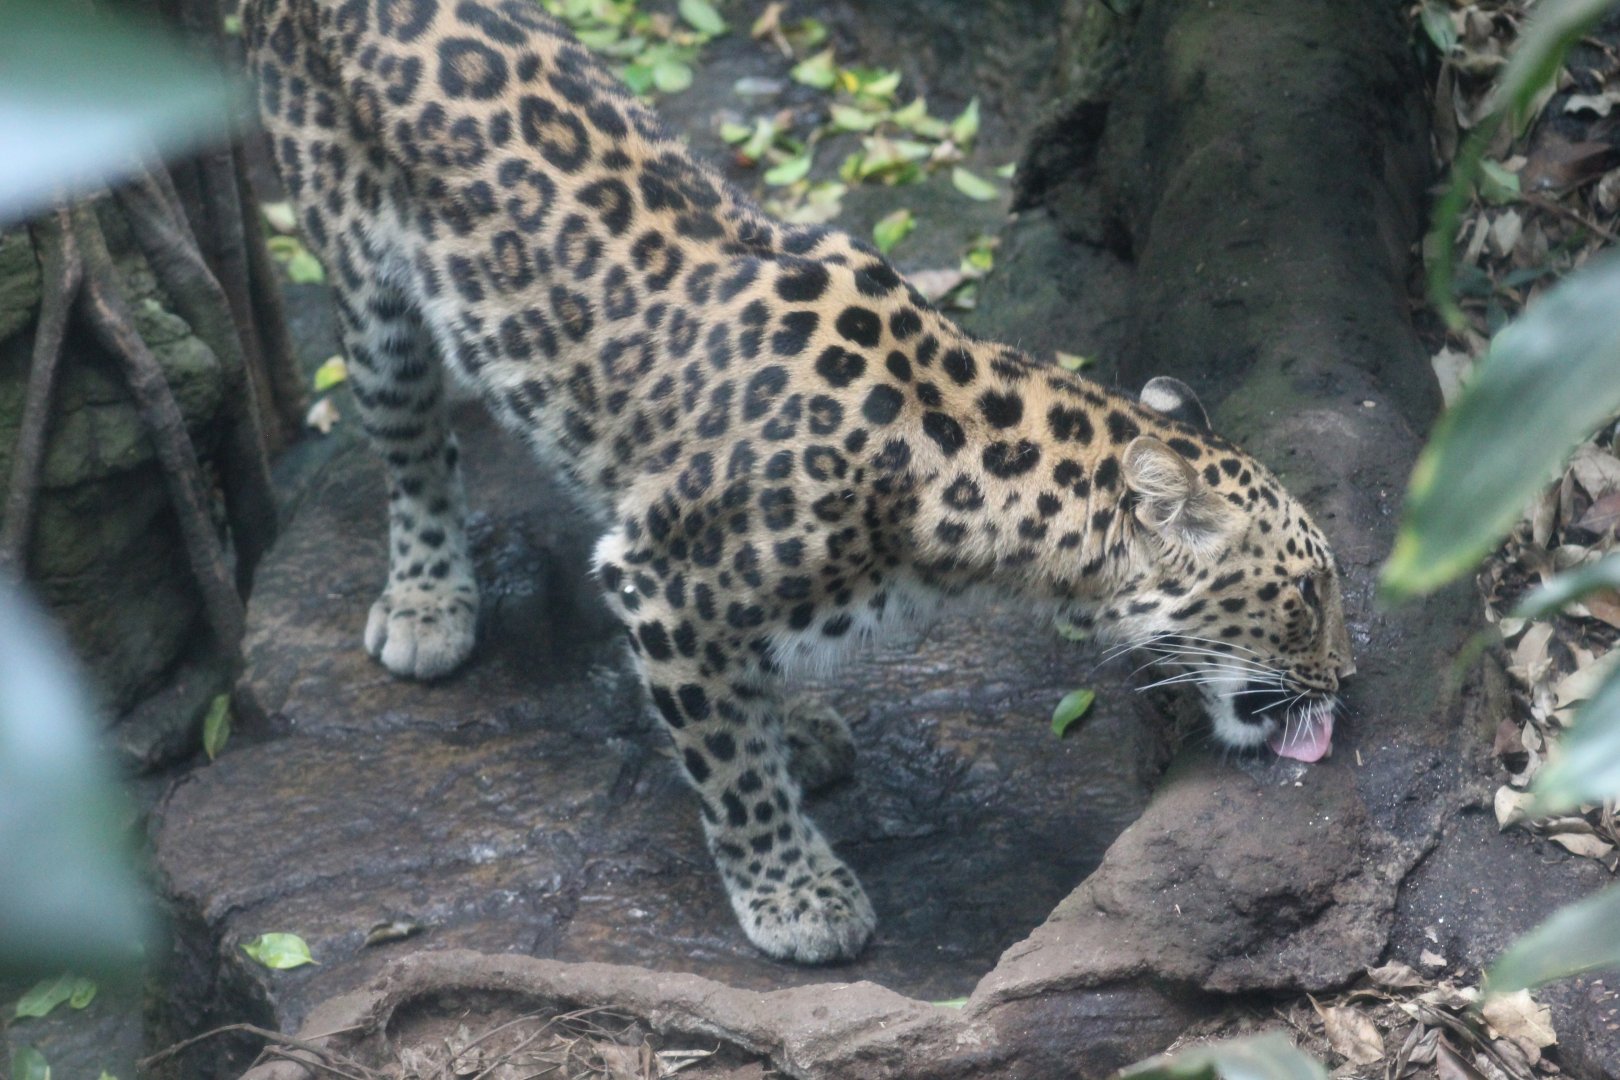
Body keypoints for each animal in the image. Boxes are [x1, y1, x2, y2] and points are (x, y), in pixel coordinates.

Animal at [244, 0, 1357, 964]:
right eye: (1305, 598)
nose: (1348, 678)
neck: (963, 472)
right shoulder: (661, 582)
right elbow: (732, 772)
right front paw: (795, 894)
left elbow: (744, 701)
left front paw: (793, 724)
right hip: (368, 292)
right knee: (413, 447)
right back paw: (429, 600)